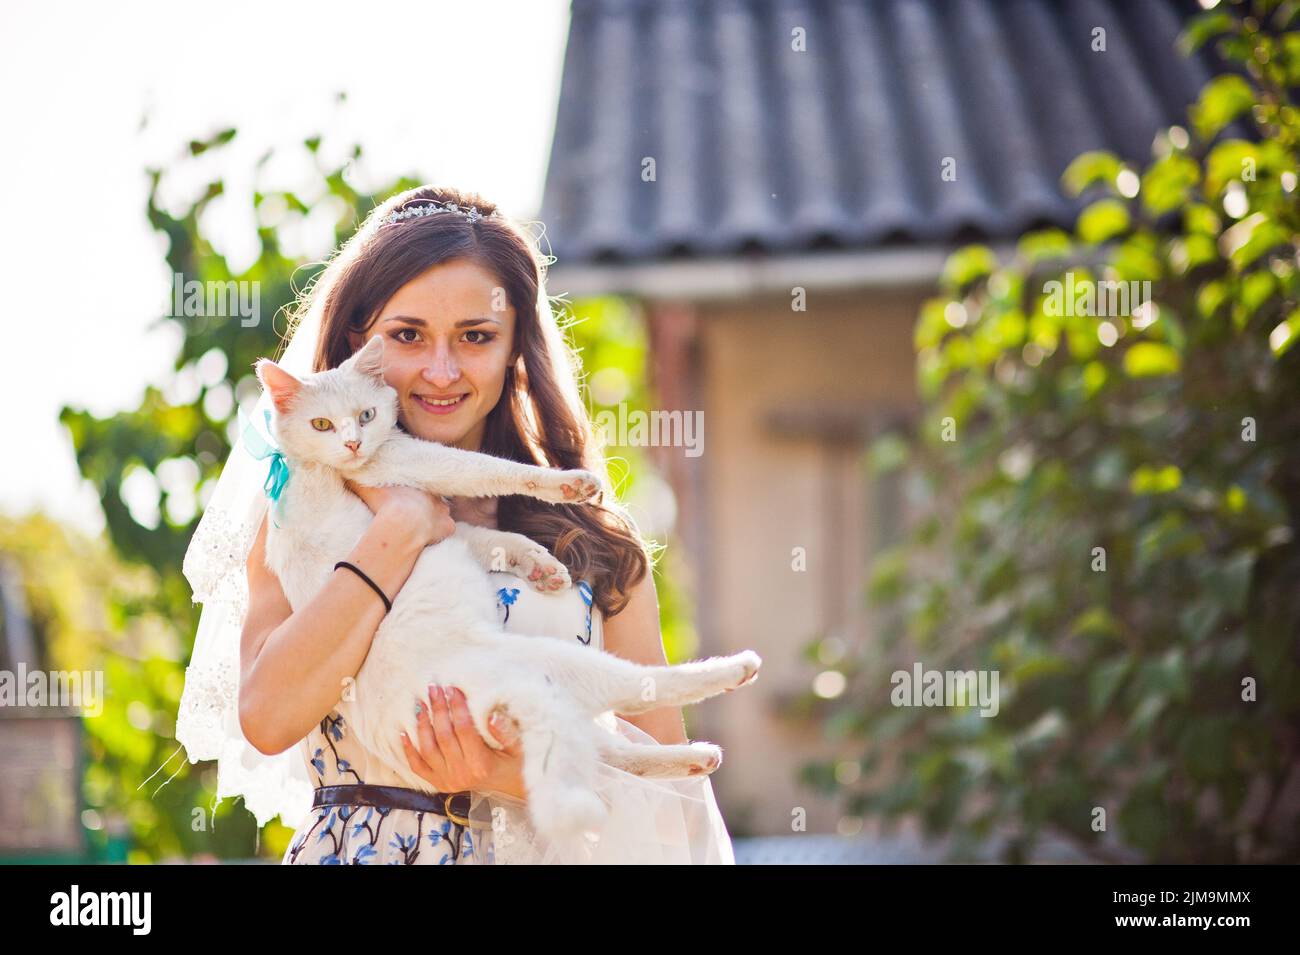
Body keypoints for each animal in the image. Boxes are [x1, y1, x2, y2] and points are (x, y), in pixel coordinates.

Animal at [254, 332, 759, 841]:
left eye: (365, 415)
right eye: (321, 424)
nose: (354, 444)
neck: (305, 465)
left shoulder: (441, 522)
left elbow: (492, 538)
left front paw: (541, 566)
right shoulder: (408, 464)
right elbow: (490, 470)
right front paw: (567, 485)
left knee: (615, 758)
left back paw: (695, 759)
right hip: (563, 666)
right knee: (642, 690)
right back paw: (736, 670)